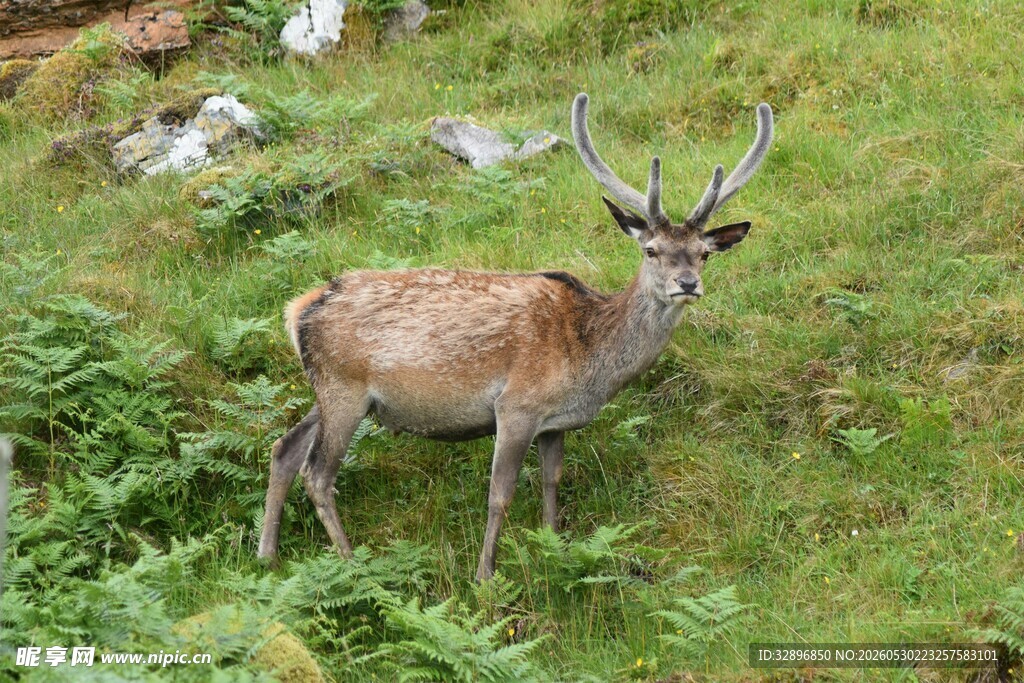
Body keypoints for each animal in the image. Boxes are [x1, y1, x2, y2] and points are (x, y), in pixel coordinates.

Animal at [257, 93, 773, 582]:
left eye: (704, 253)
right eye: (651, 250)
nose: (687, 283)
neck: (590, 357)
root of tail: (299, 308)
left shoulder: (554, 421)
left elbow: (552, 480)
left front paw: (553, 546)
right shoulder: (517, 406)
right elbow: (500, 492)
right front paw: (485, 575)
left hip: (329, 390)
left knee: (284, 448)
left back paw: (267, 555)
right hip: (344, 388)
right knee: (317, 472)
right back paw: (350, 562)